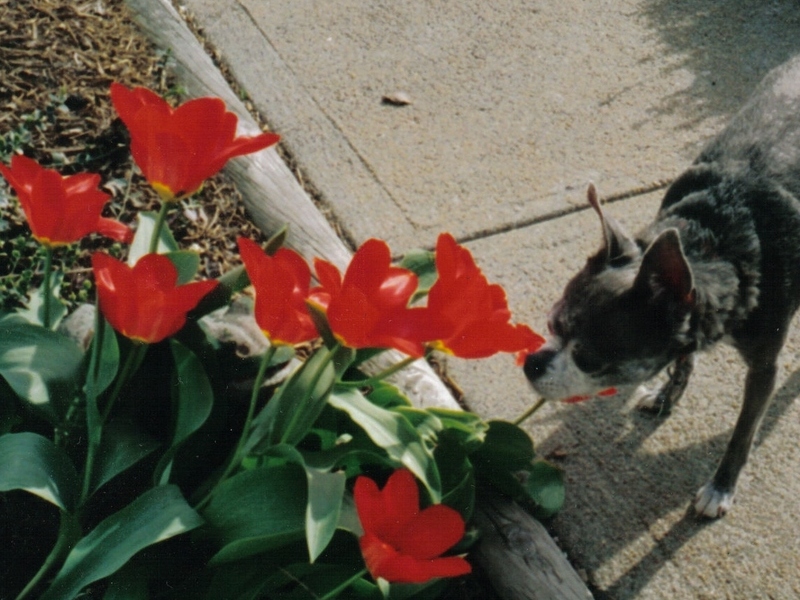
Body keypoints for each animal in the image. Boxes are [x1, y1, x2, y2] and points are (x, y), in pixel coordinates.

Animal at [520, 54, 800, 516]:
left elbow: (743, 433)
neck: (717, 238)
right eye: (552, 324)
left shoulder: (764, 368)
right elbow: (684, 358)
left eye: (590, 359)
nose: (532, 363)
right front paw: (669, 394)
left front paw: (721, 486)